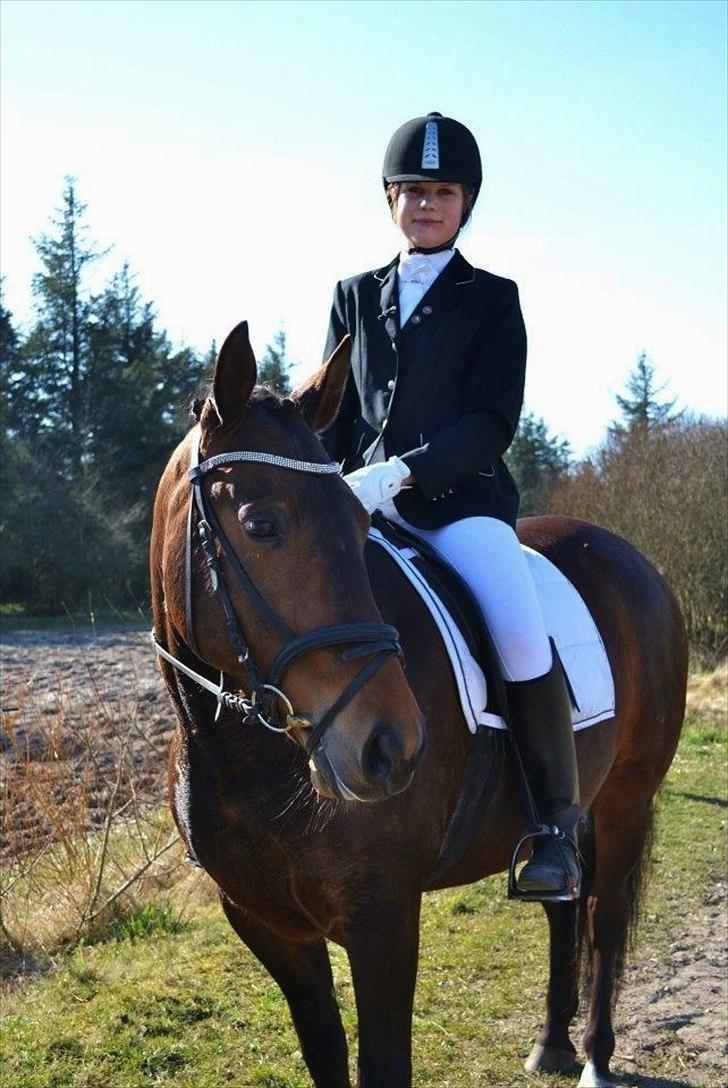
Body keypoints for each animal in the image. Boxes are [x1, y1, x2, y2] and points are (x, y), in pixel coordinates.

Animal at [150, 322, 687, 1088]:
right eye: (260, 525)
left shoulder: (383, 917)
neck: (251, 761)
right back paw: (552, 1040)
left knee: (604, 919)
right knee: (564, 903)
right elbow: (324, 1053)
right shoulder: (269, 926)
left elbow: (384, 1064)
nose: (391, 747)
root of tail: (632, 557)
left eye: (356, 521)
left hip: (627, 799)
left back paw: (595, 1059)